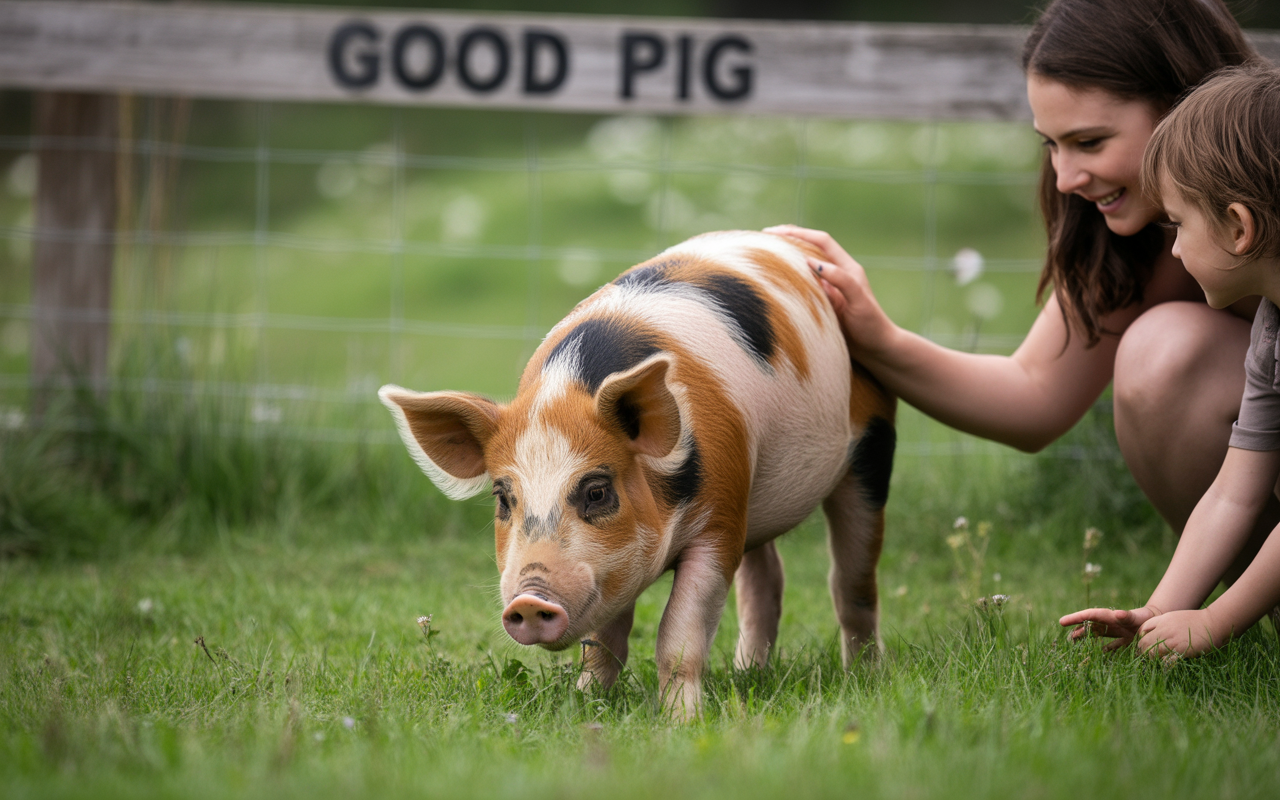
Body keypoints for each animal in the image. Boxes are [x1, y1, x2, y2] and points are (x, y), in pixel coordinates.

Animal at [379, 230, 895, 719]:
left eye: (597, 491)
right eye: (503, 498)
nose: (528, 600)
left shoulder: (719, 520)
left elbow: (679, 634)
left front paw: (681, 722)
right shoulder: (621, 562)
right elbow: (604, 641)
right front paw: (585, 705)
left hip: (873, 443)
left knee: (852, 581)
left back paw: (863, 677)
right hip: (756, 496)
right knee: (766, 578)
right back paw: (748, 674)